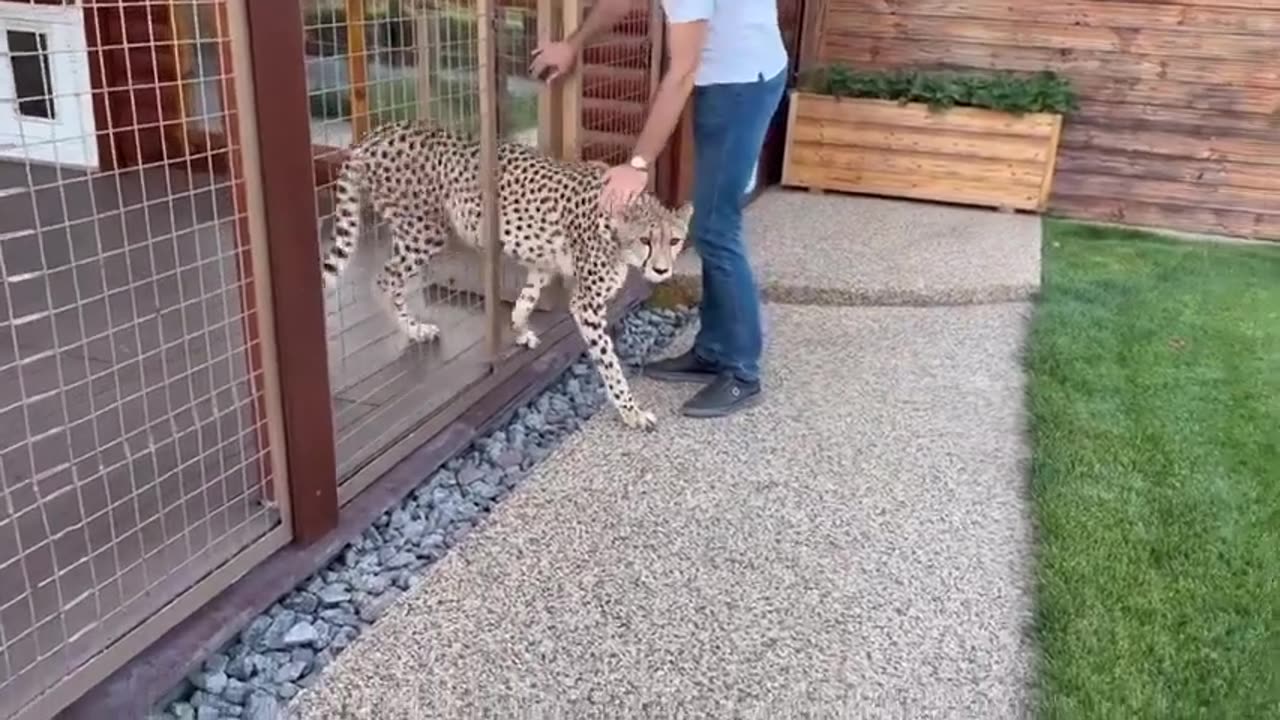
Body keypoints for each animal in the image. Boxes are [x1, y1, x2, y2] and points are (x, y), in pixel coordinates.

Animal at [320, 120, 696, 427]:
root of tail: (379, 132)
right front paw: (630, 411)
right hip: (424, 230)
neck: (617, 226)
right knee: (384, 279)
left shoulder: (542, 263)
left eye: (675, 241)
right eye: (646, 240)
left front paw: (520, 330)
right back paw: (412, 329)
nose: (661, 269)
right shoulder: (587, 303)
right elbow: (609, 361)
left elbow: (526, 298)